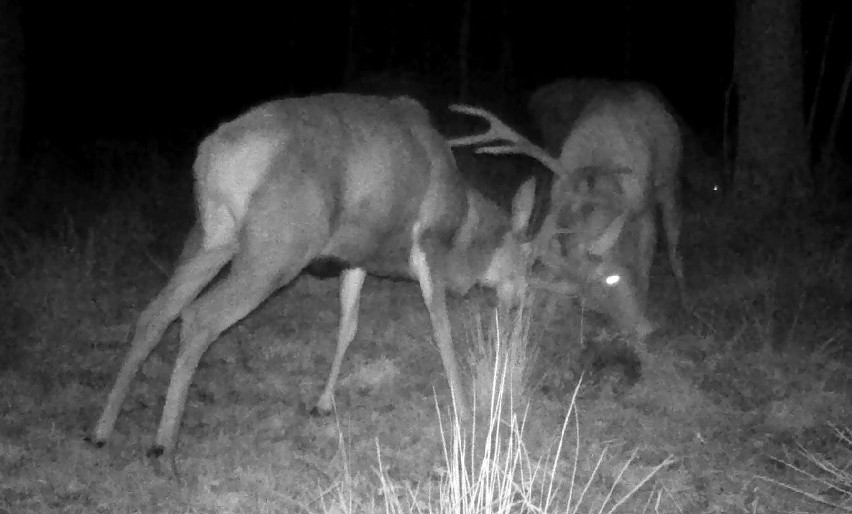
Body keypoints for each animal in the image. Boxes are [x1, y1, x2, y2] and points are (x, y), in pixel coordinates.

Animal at [86, 94, 540, 458]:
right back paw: (163, 442)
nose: (519, 302)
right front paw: (464, 410)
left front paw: (322, 403)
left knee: (154, 314)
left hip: (210, 235)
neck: (465, 224)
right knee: (198, 317)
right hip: (276, 247)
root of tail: (216, 155)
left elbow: (348, 325)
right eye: (528, 259)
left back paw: (101, 430)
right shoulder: (428, 242)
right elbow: (440, 327)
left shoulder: (356, 254)